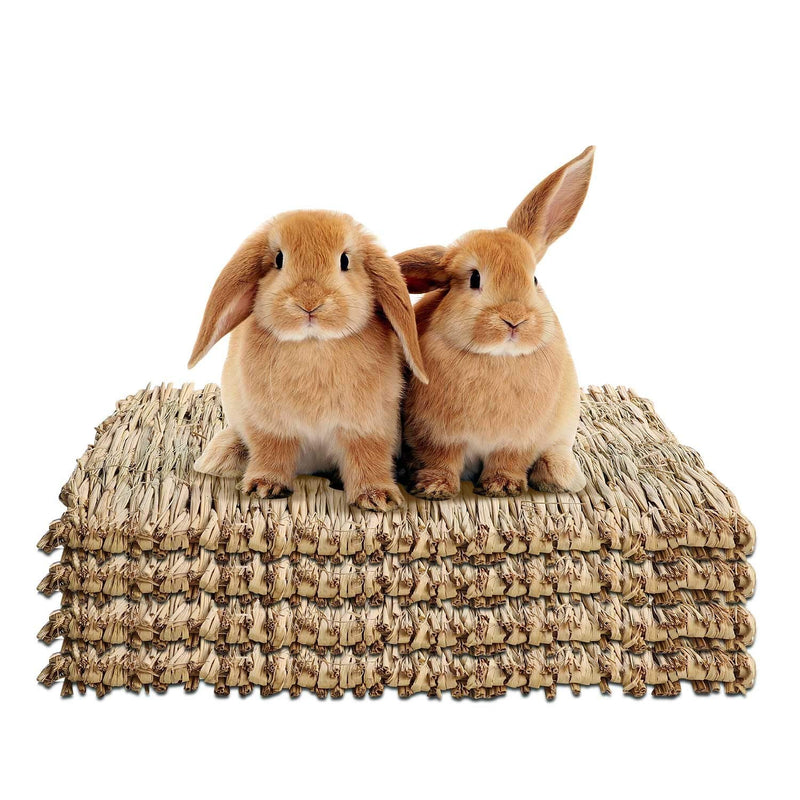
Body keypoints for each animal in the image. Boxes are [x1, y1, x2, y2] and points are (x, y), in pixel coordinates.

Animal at [187, 209, 428, 511]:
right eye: (279, 259)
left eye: (345, 260)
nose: (309, 303)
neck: (313, 344)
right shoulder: (270, 424)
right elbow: (271, 451)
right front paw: (264, 486)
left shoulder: (369, 425)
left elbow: (367, 455)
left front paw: (377, 497)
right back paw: (219, 457)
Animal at [395, 146, 594, 499]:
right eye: (474, 279)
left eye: (534, 279)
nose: (514, 318)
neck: (498, 359)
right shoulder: (436, 436)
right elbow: (440, 460)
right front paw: (434, 488)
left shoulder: (518, 440)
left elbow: (508, 459)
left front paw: (502, 486)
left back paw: (560, 475)